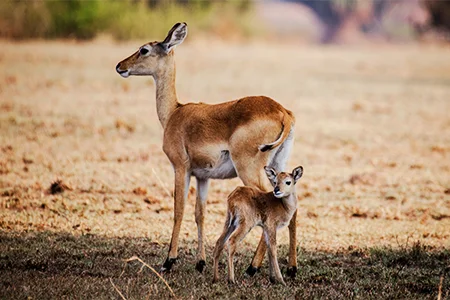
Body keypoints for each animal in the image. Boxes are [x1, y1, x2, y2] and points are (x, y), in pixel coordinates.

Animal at [116, 22, 298, 276]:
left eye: (144, 50)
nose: (120, 66)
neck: (175, 112)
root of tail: (283, 112)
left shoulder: (181, 168)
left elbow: (179, 210)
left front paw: (168, 261)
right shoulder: (203, 177)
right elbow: (199, 214)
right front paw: (200, 262)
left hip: (250, 169)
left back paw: (252, 268)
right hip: (279, 167)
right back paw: (291, 268)